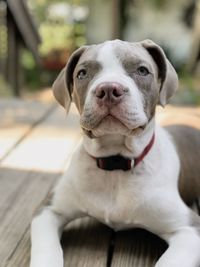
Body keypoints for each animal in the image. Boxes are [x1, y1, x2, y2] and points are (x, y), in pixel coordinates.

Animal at [29, 39, 200, 267]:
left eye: (142, 70)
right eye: (82, 73)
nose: (109, 89)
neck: (115, 163)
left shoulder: (189, 229)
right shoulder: (48, 210)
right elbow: (46, 250)